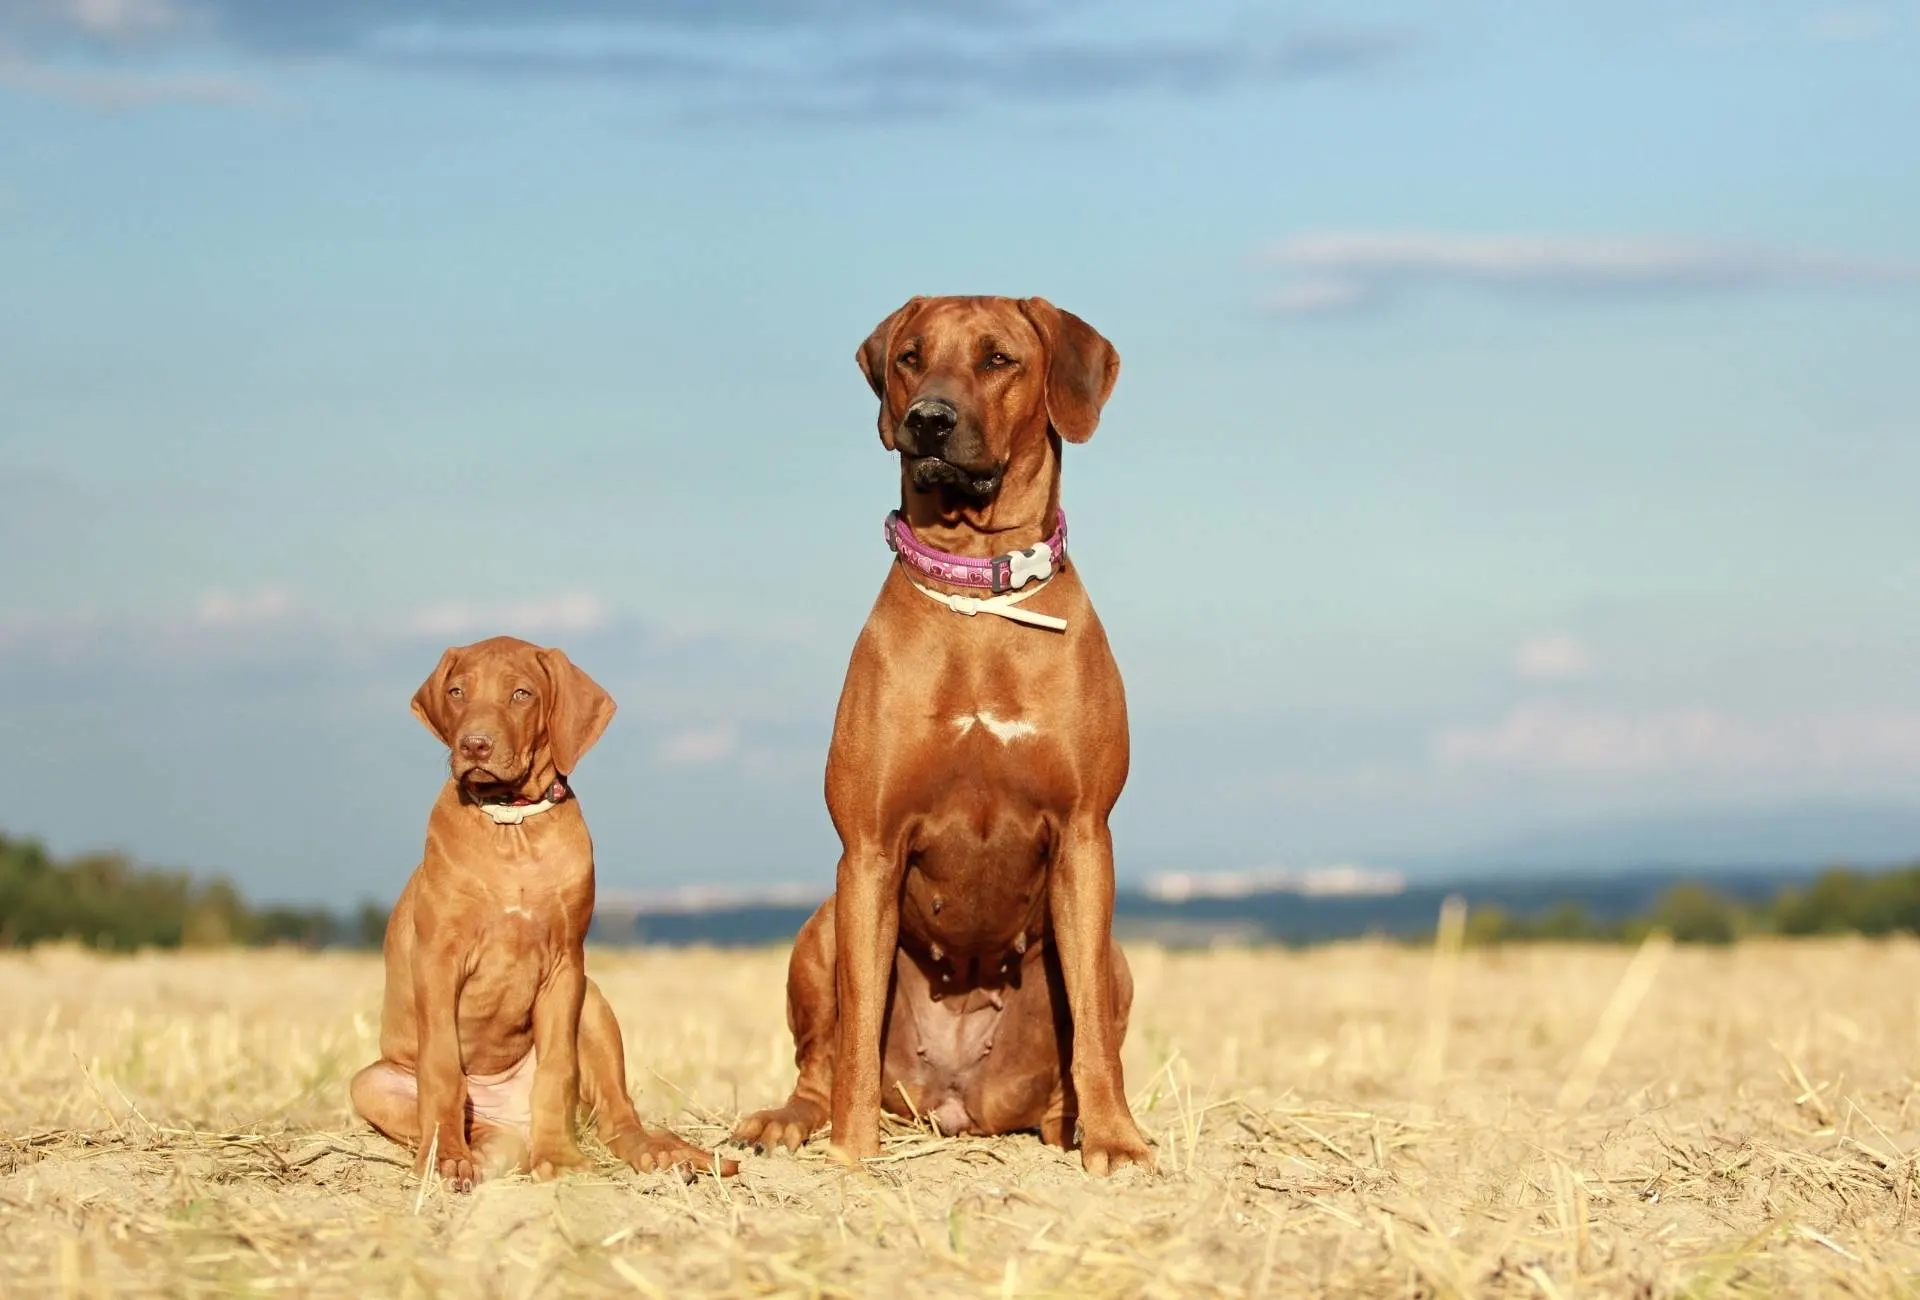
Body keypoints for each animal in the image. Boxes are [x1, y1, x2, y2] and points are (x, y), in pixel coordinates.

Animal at [349, 633, 729, 1182]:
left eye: (522, 694)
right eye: (458, 692)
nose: (474, 745)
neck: (513, 826)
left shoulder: (565, 964)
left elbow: (557, 1070)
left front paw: (561, 1159)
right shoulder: (438, 960)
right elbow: (441, 1067)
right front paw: (447, 1158)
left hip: (591, 1002)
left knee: (618, 1117)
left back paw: (655, 1154)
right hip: (371, 1083)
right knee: (470, 1117)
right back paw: (484, 1148)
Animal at [729, 299, 1152, 1167]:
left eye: (997, 359)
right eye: (910, 358)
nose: (927, 420)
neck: (977, 600)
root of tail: (956, 1101)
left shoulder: (1085, 835)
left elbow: (1093, 1027)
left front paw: (1117, 1141)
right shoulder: (868, 849)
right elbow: (857, 1029)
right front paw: (853, 1154)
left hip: (1117, 962)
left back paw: (1065, 1121)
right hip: (821, 926)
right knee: (821, 1058)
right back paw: (791, 1120)